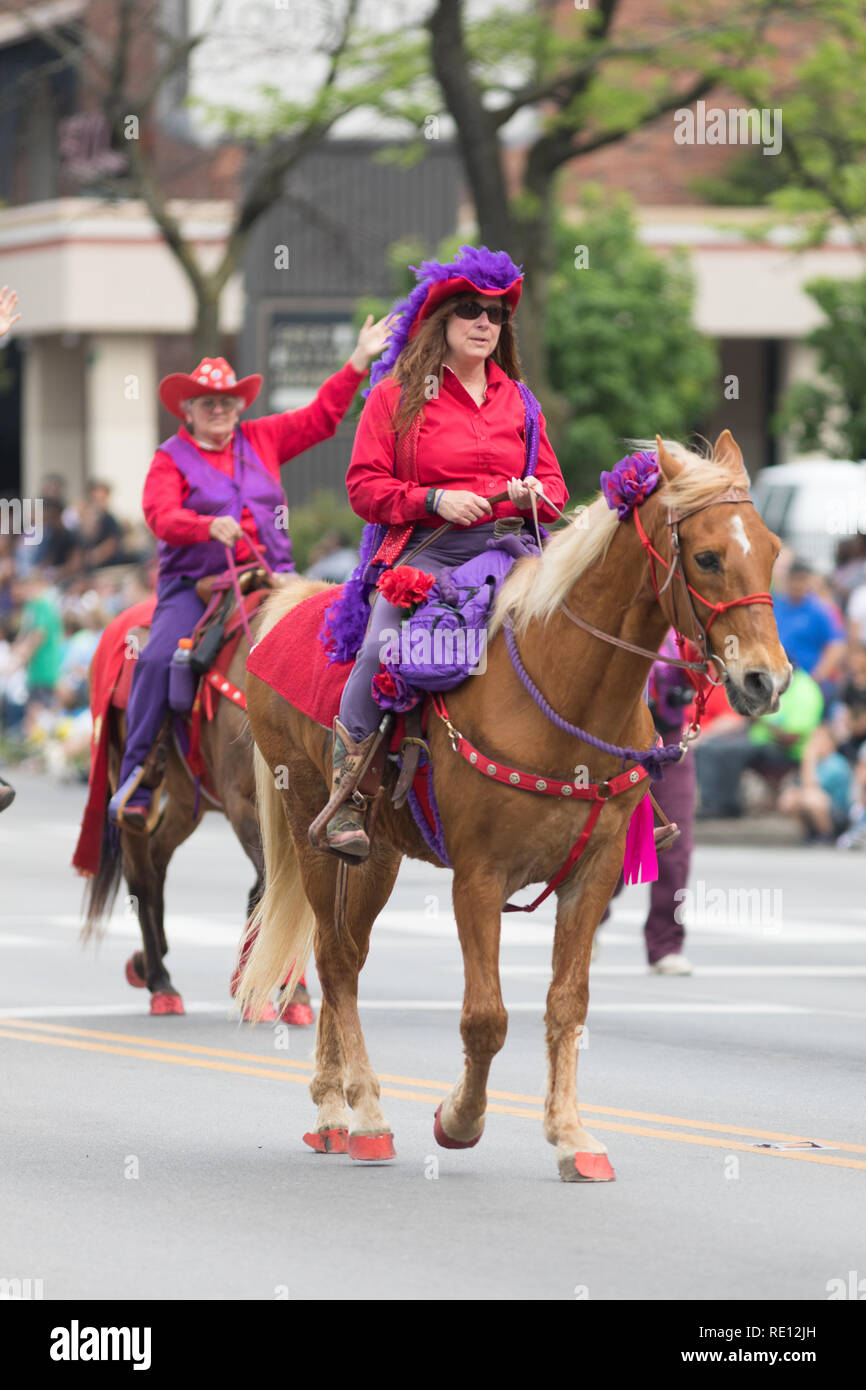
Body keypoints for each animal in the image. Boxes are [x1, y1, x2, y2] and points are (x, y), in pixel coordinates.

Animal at [81, 586, 315, 1023]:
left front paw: (273, 988)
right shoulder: (243, 806)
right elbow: (272, 888)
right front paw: (269, 990)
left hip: (186, 799)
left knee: (157, 859)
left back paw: (149, 962)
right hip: (127, 780)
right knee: (141, 873)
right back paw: (160, 983)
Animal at [237, 430, 795, 1173]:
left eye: (771, 549)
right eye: (706, 556)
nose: (766, 679)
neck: (563, 693)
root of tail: (291, 605)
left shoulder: (593, 874)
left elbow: (567, 1005)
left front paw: (571, 1136)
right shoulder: (479, 877)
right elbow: (486, 1017)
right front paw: (459, 1117)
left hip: (378, 855)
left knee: (344, 958)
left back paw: (334, 1109)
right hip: (311, 827)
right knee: (335, 958)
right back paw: (366, 1115)